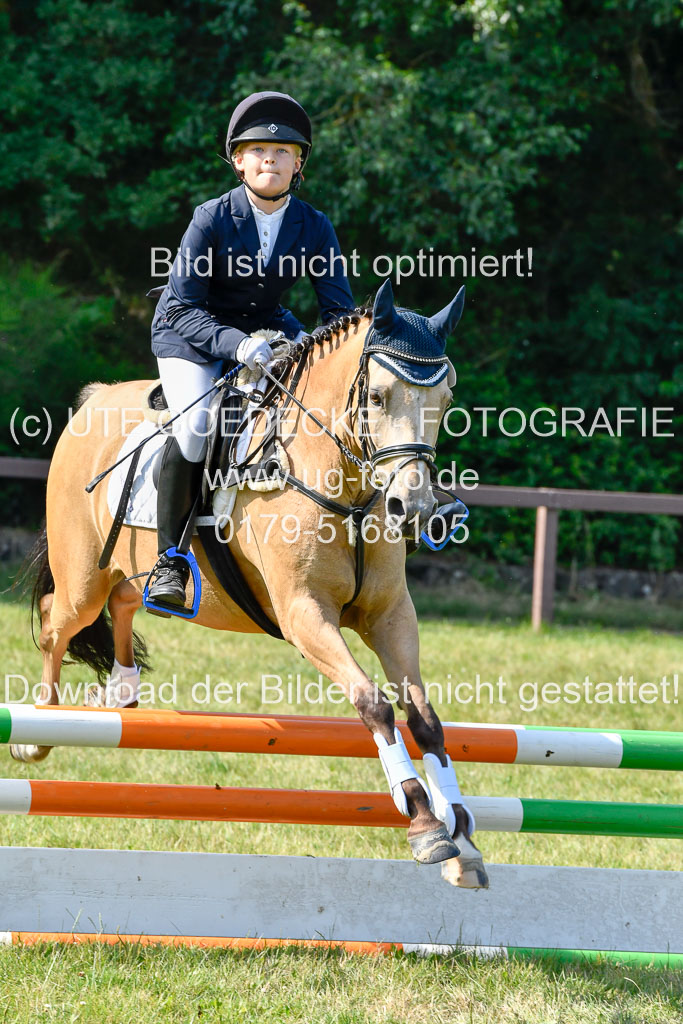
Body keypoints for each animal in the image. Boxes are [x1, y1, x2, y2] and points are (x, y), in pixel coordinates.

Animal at [13, 279, 488, 888]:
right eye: (378, 397)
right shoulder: (305, 614)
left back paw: (121, 686)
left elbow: (425, 720)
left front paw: (463, 839)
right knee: (57, 620)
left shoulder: (390, 615)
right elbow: (374, 705)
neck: (347, 486)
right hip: (82, 578)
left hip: (126, 566)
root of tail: (93, 401)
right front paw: (426, 826)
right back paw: (36, 731)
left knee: (124, 599)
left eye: (446, 401)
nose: (419, 509)